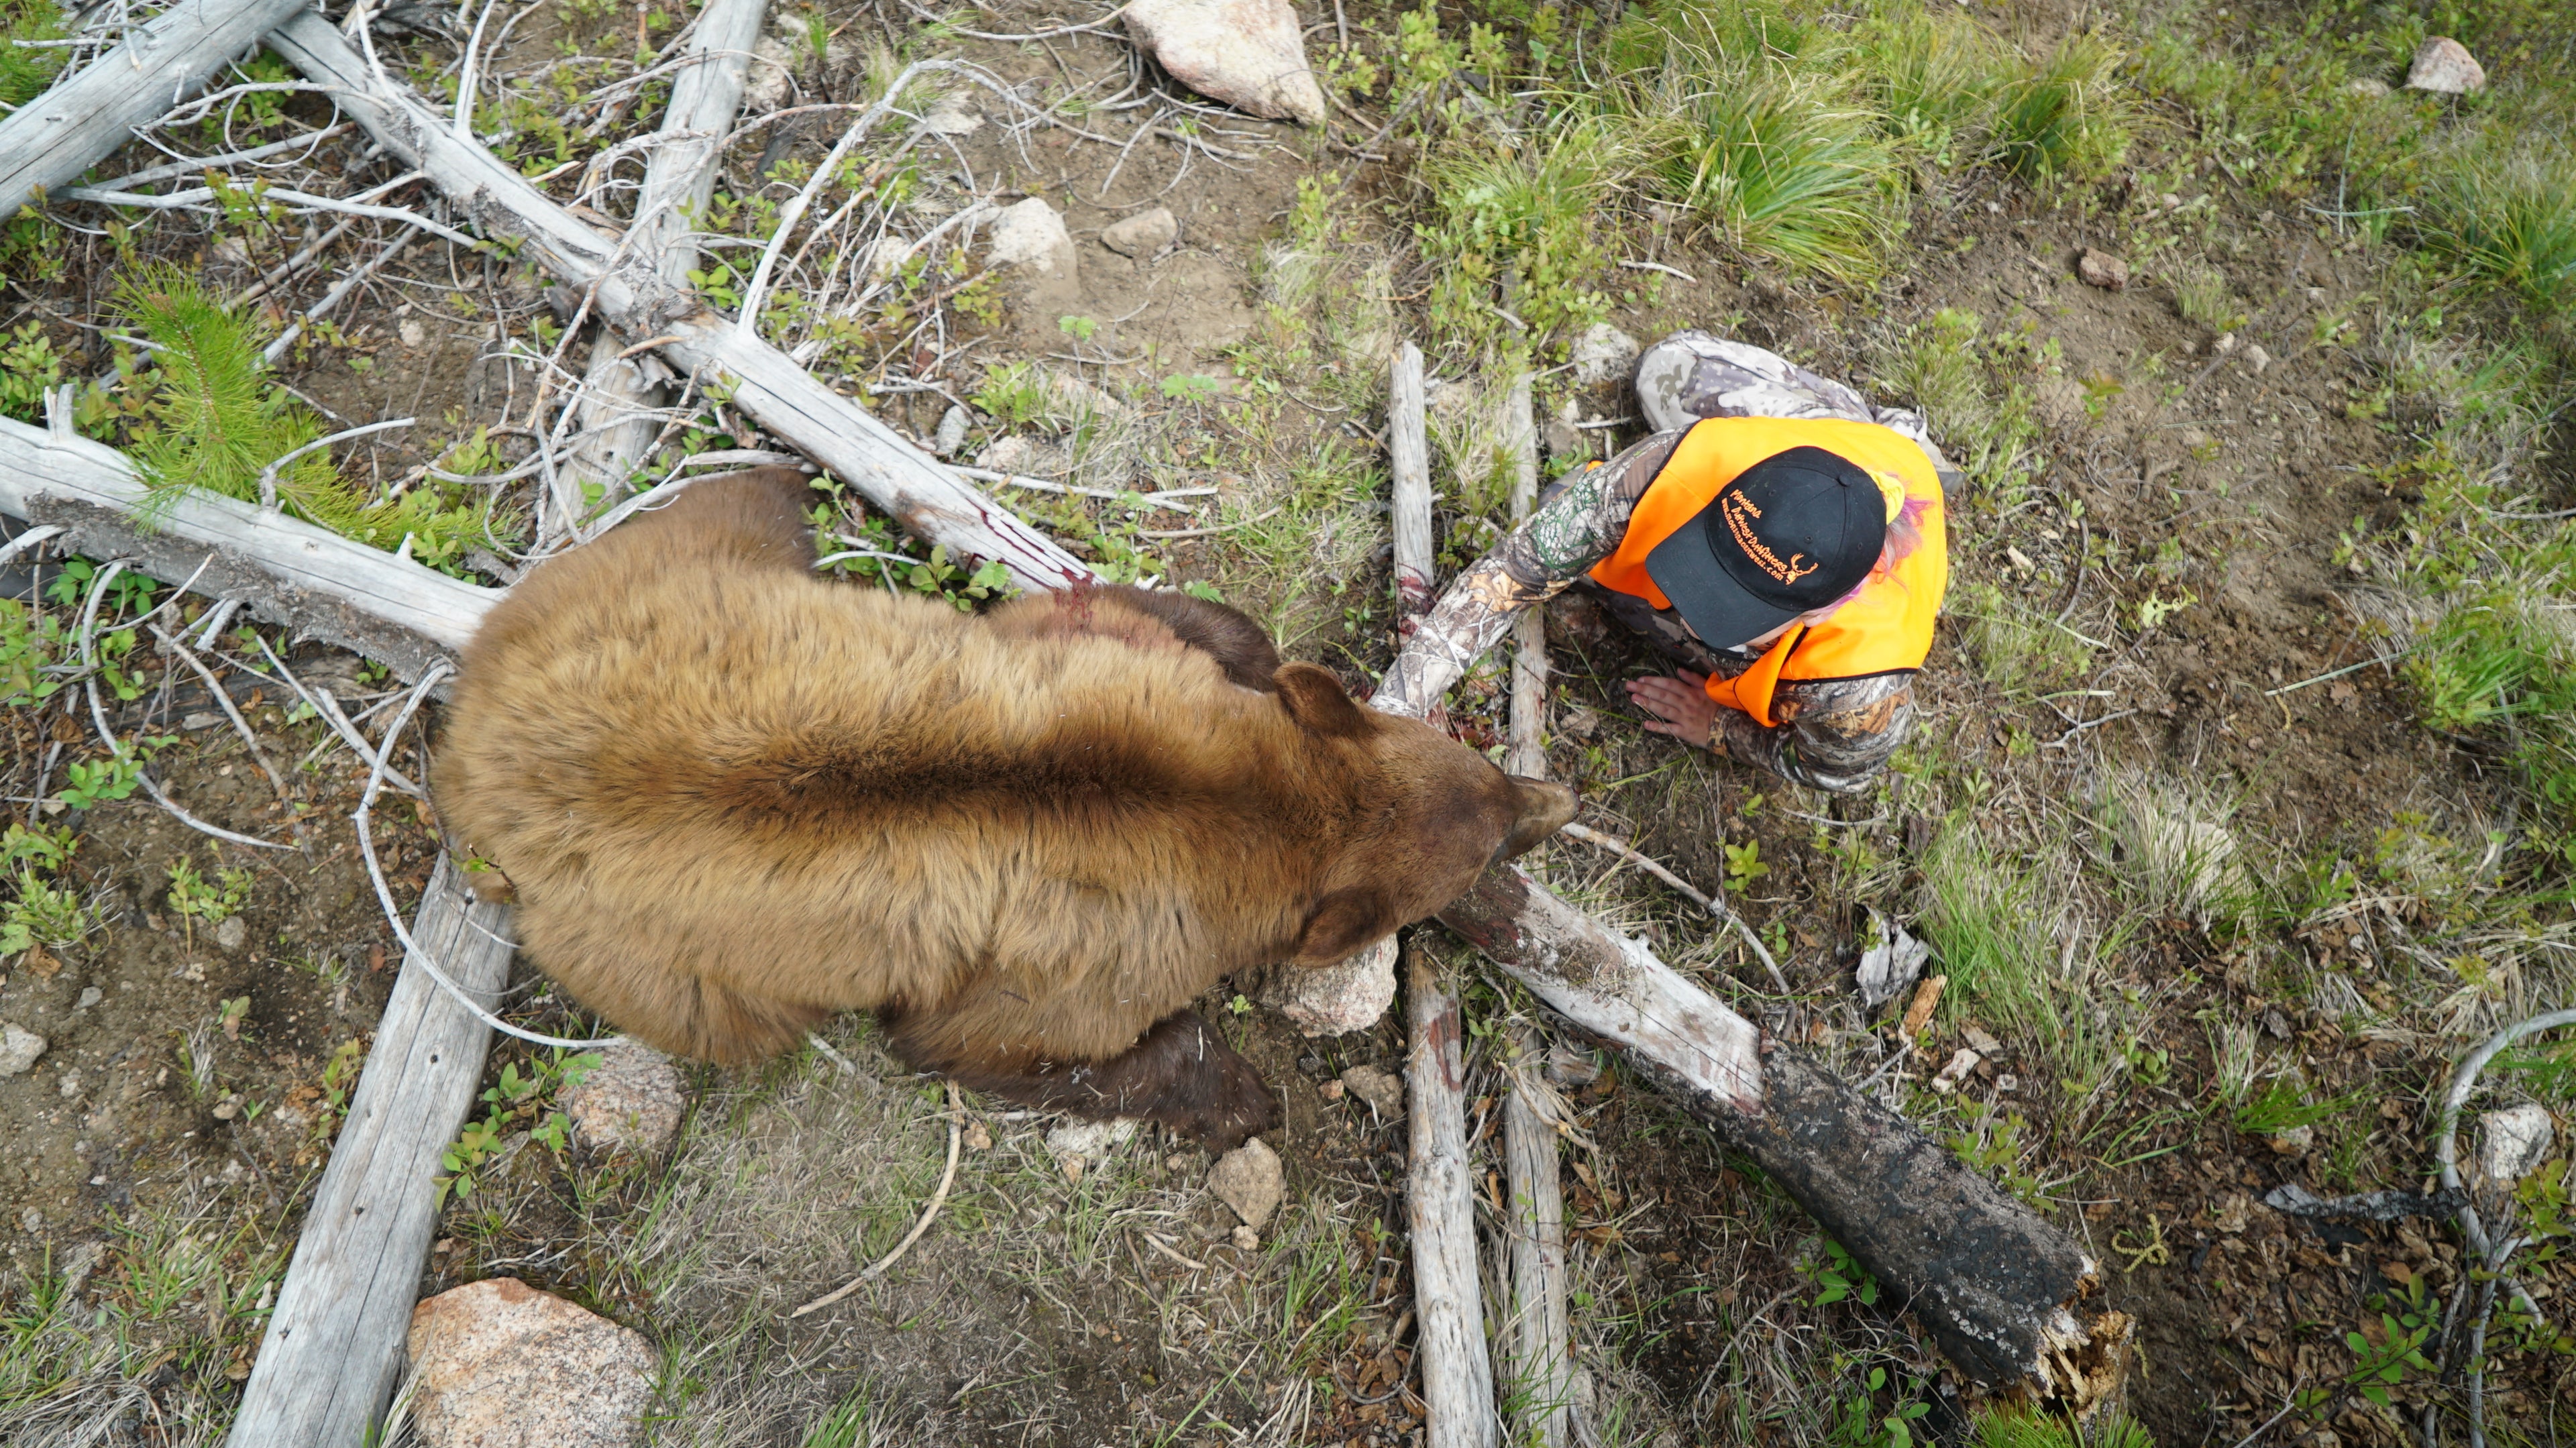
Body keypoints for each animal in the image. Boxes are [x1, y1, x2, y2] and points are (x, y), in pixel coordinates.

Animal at [430, 468, 1577, 1150]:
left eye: (1484, 785)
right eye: (1486, 842)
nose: (1553, 797)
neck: (1263, 809)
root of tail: (470, 753)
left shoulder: (1109, 670)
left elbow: (1145, 611)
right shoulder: (1081, 951)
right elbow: (1002, 1040)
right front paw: (1242, 1095)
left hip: (621, 588)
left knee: (721, 523)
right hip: (661, 968)